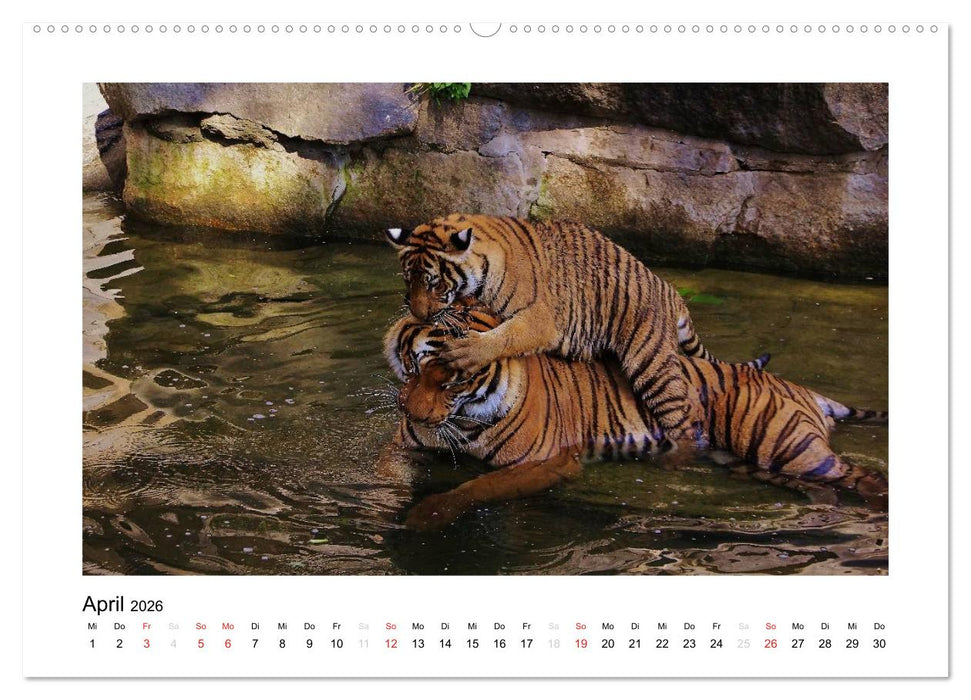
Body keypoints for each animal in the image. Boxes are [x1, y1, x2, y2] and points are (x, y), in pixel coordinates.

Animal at [381, 300, 888, 530]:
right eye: (414, 366)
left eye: (453, 381)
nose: (410, 411)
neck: (464, 417)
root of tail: (799, 387)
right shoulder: (403, 445)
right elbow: (383, 475)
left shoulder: (548, 463)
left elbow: (478, 486)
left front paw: (425, 515)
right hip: (754, 464)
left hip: (786, 446)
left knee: (862, 475)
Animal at [385, 214, 726, 436]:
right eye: (408, 280)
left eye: (435, 284)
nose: (420, 315)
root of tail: (670, 290)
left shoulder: (540, 319)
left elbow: (505, 336)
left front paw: (466, 353)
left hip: (651, 365)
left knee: (682, 418)